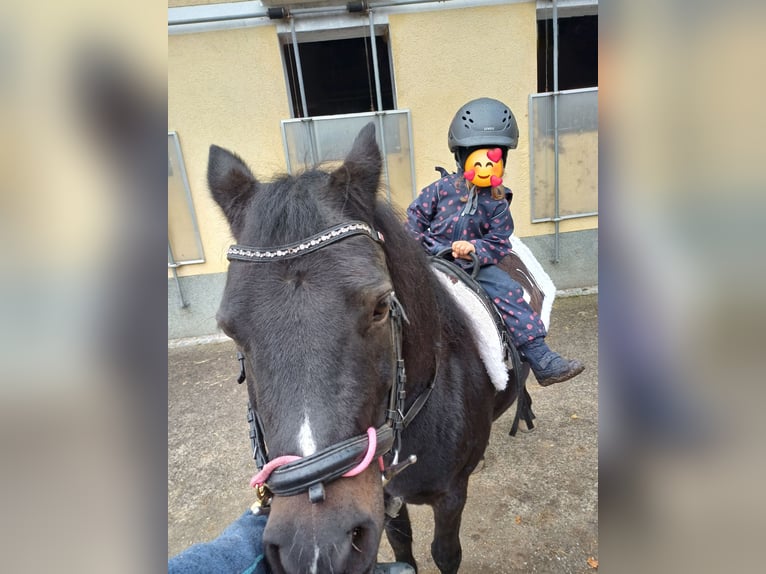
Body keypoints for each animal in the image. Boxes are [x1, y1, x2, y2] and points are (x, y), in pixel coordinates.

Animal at [207, 126, 532, 574]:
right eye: (230, 329)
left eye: (380, 306)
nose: (315, 549)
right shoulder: (384, 498)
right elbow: (401, 544)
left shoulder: (451, 496)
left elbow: (446, 553)